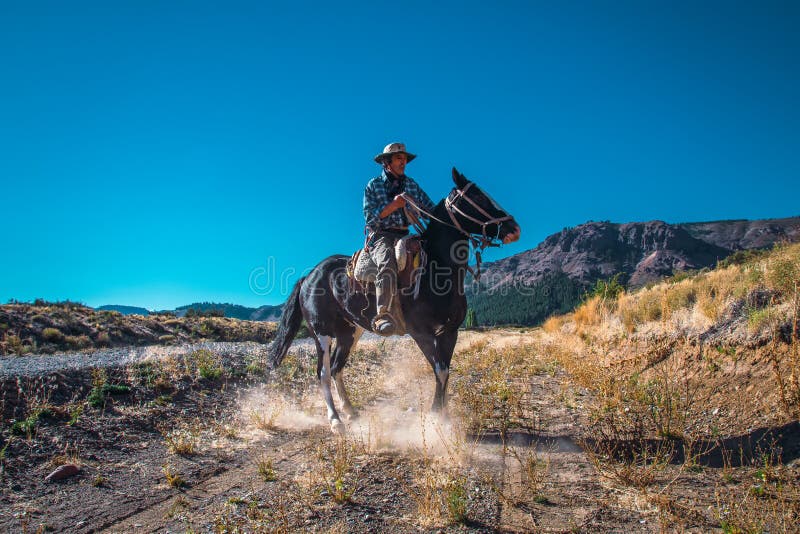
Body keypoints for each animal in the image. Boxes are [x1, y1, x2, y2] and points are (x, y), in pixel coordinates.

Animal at [266, 170, 520, 434]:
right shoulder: (421, 333)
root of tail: (310, 275)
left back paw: (351, 412)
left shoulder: (450, 332)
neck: (436, 270)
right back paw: (336, 420)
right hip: (321, 332)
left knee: (337, 367)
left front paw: (445, 419)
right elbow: (440, 371)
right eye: (477, 197)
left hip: (349, 333)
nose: (514, 229)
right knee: (323, 372)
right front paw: (434, 419)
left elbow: (446, 372)